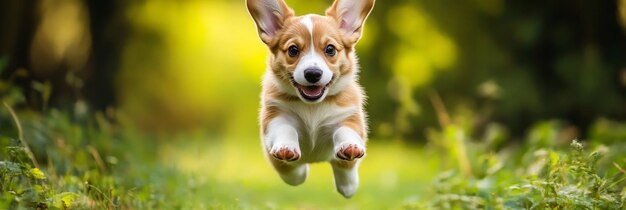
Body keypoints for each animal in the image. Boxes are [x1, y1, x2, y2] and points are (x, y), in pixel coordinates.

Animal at [246, 0, 372, 198]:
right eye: (293, 50)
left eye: (330, 49)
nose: (313, 73)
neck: (313, 106)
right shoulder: (275, 116)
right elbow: (286, 131)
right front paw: (287, 150)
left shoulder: (349, 117)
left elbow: (345, 132)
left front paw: (349, 149)